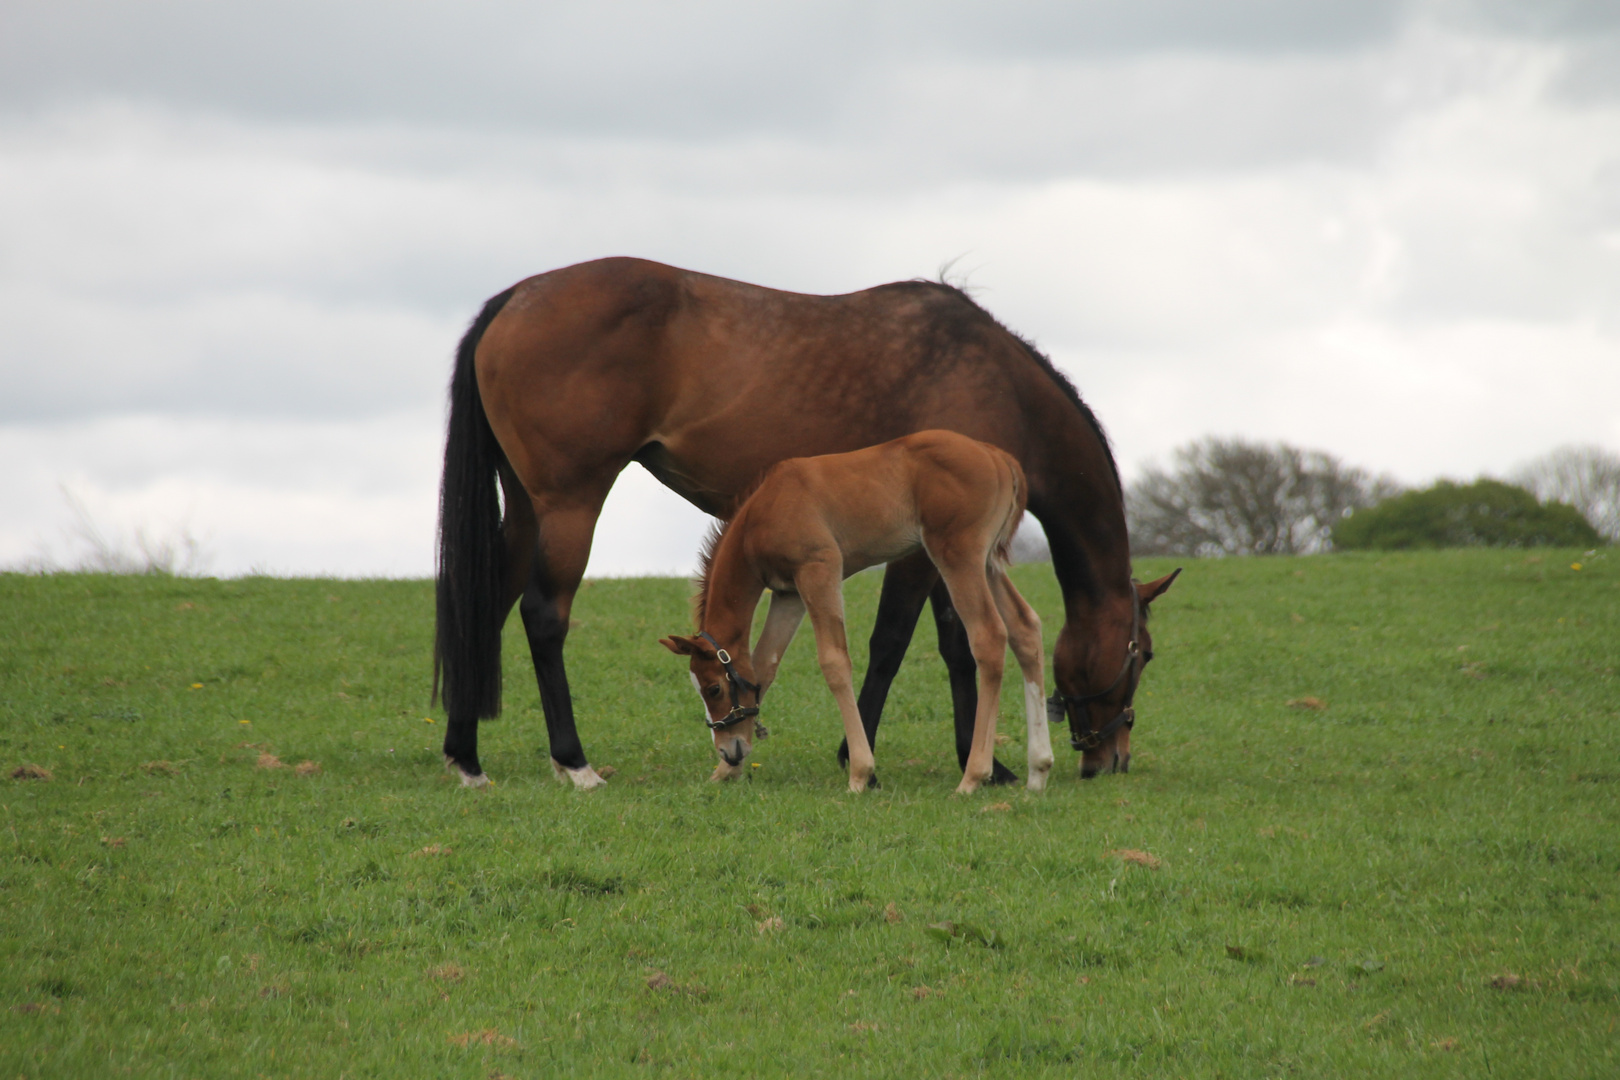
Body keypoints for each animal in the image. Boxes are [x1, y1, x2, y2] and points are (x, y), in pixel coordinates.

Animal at [657, 430, 1049, 793]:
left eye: (713, 689)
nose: (729, 749)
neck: (764, 510)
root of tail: (997, 456)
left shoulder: (819, 570)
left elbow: (834, 661)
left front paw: (860, 773)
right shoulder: (788, 593)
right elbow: (763, 665)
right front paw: (726, 772)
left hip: (958, 555)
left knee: (989, 635)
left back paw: (973, 776)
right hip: (988, 562)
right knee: (1025, 627)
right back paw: (1038, 770)